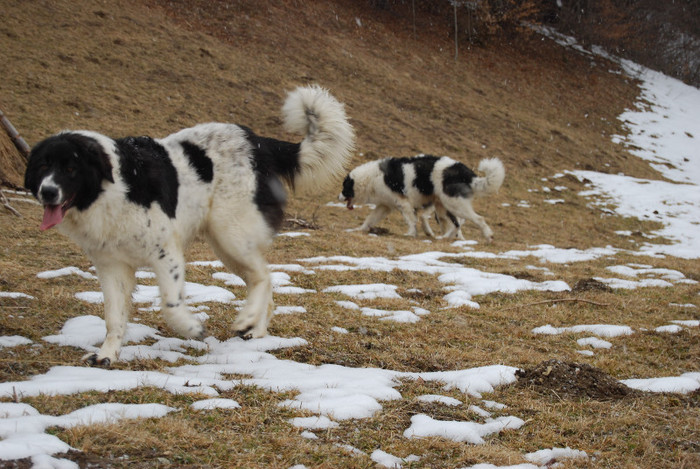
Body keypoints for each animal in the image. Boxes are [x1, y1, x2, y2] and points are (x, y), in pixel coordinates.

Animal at [26, 85, 356, 366]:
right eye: (43, 166)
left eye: (71, 168)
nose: (47, 192)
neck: (114, 187)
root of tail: (258, 142)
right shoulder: (111, 266)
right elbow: (114, 317)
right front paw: (107, 354)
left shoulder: (166, 253)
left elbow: (170, 305)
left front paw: (192, 329)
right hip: (225, 245)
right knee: (262, 280)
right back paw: (255, 328)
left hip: (231, 233)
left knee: (263, 276)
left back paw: (246, 320)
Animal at [340, 155, 504, 241]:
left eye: (344, 188)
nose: (338, 196)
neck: (372, 177)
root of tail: (466, 172)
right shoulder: (384, 206)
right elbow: (369, 219)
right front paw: (359, 229)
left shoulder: (403, 203)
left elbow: (411, 220)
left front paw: (411, 234)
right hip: (443, 207)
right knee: (454, 225)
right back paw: (443, 238)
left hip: (454, 204)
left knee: (477, 219)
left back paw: (488, 235)